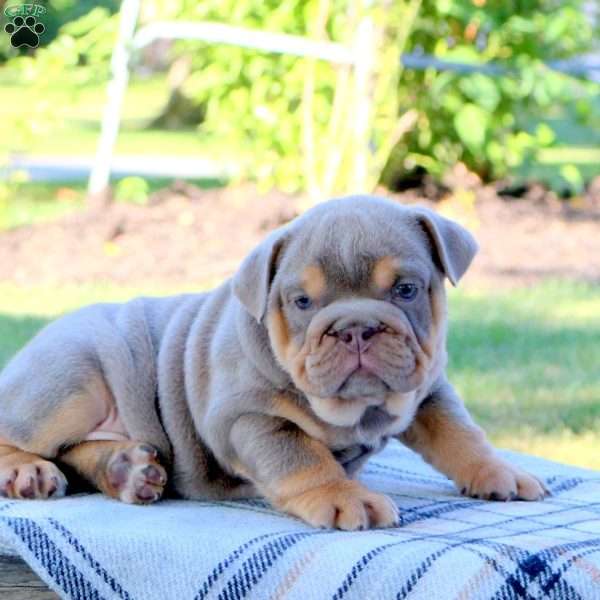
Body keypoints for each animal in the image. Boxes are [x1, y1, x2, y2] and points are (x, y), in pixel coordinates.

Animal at [0, 195, 548, 528]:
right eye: (302, 302)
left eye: (406, 290)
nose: (355, 327)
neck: (359, 409)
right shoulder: (249, 417)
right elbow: (303, 456)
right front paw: (345, 496)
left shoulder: (429, 389)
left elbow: (461, 434)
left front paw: (500, 472)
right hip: (75, 381)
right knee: (22, 434)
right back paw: (29, 471)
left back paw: (126, 470)